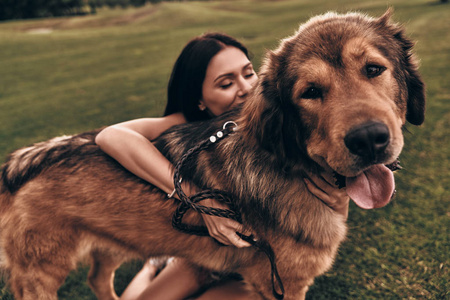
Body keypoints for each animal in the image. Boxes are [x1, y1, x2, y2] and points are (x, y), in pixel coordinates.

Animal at [0, 9, 426, 300]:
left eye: (373, 69)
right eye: (310, 92)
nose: (368, 139)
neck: (290, 169)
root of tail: (21, 161)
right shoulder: (280, 284)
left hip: (109, 244)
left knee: (98, 279)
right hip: (40, 272)